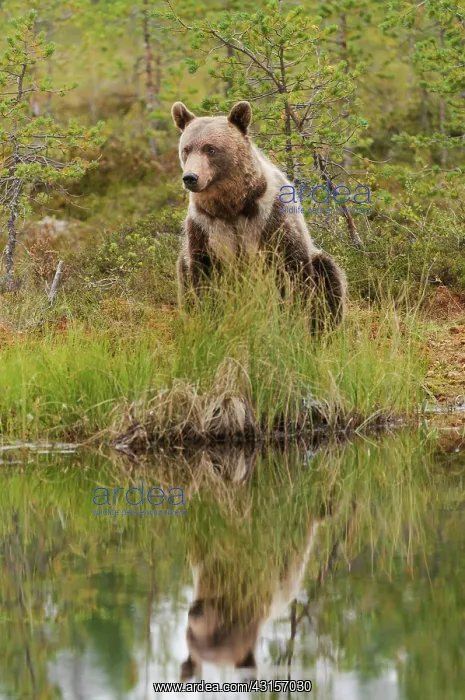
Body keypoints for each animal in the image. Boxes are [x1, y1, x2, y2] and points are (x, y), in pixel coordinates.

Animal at [171, 100, 347, 326]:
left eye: (210, 149)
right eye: (186, 149)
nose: (191, 178)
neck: (232, 206)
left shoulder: (271, 217)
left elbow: (293, 270)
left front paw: (296, 318)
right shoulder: (204, 225)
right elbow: (202, 274)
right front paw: (208, 317)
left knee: (329, 275)